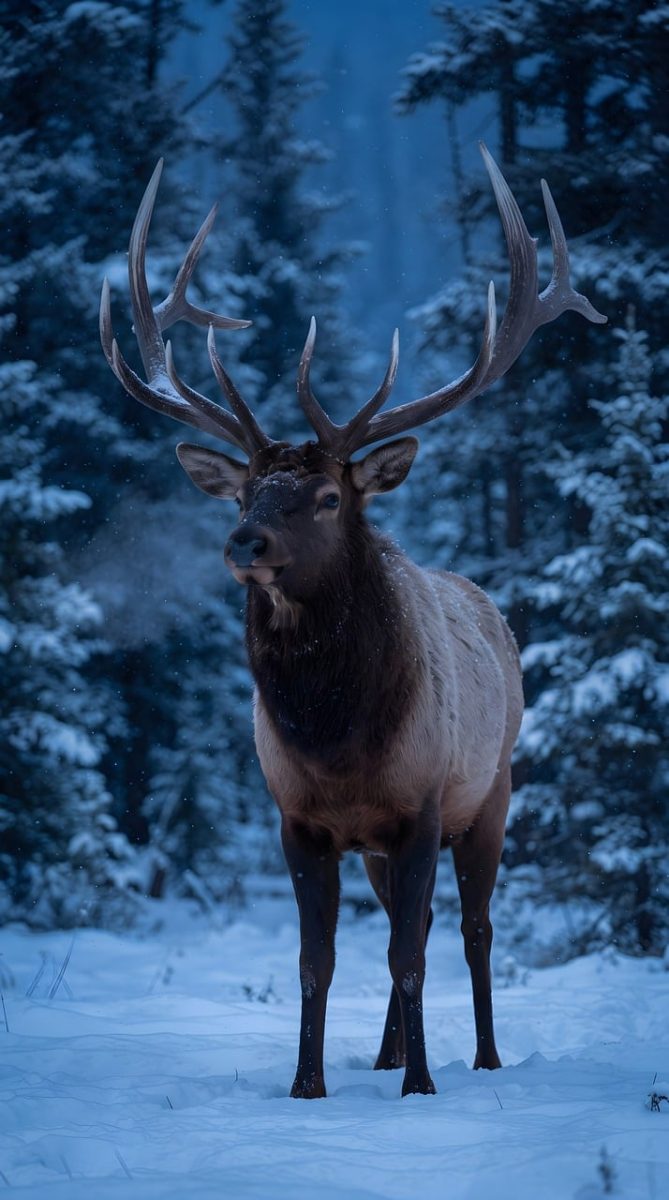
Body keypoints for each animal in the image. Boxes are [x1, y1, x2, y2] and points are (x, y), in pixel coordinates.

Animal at [100, 144, 606, 1100]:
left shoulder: (420, 807)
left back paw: (479, 1056)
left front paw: (422, 1089)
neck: (336, 738)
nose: (244, 541)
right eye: (249, 492)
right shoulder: (300, 820)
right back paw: (386, 1051)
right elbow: (316, 961)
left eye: (328, 497)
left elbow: (411, 955)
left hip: (491, 793)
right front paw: (310, 1085)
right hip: (378, 846)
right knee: (409, 930)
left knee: (471, 931)